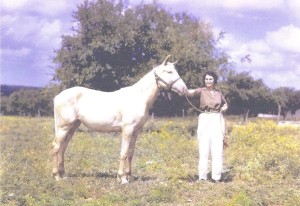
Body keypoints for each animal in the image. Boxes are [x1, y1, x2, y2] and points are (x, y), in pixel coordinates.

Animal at [51, 54, 188, 183]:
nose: (184, 89)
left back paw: (63, 175)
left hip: (73, 127)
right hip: (64, 127)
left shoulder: (135, 131)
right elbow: (124, 153)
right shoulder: (127, 130)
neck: (138, 98)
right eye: (169, 72)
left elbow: (131, 153)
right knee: (56, 148)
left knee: (63, 148)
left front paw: (129, 176)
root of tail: (57, 97)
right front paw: (122, 179)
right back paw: (56, 176)